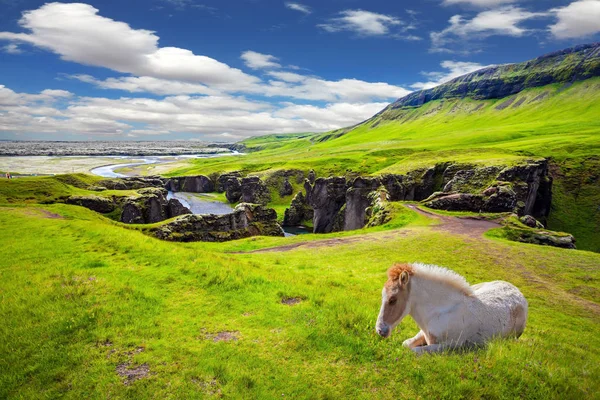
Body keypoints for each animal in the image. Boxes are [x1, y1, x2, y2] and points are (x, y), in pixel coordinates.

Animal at [378, 262, 528, 354]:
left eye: (393, 300)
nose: (380, 330)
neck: (440, 312)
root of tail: (517, 290)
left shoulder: (453, 345)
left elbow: (414, 351)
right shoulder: (423, 333)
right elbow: (406, 344)